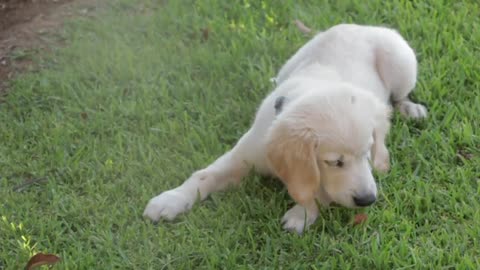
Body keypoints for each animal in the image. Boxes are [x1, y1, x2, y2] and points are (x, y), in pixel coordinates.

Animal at [142, 24, 428, 233]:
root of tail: (359, 25)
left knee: (399, 96)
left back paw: (411, 109)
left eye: (368, 153)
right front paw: (170, 199)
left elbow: (319, 188)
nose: (368, 200)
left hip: (401, 62)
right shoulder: (244, 153)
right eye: (334, 162)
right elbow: (203, 175)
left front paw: (301, 214)